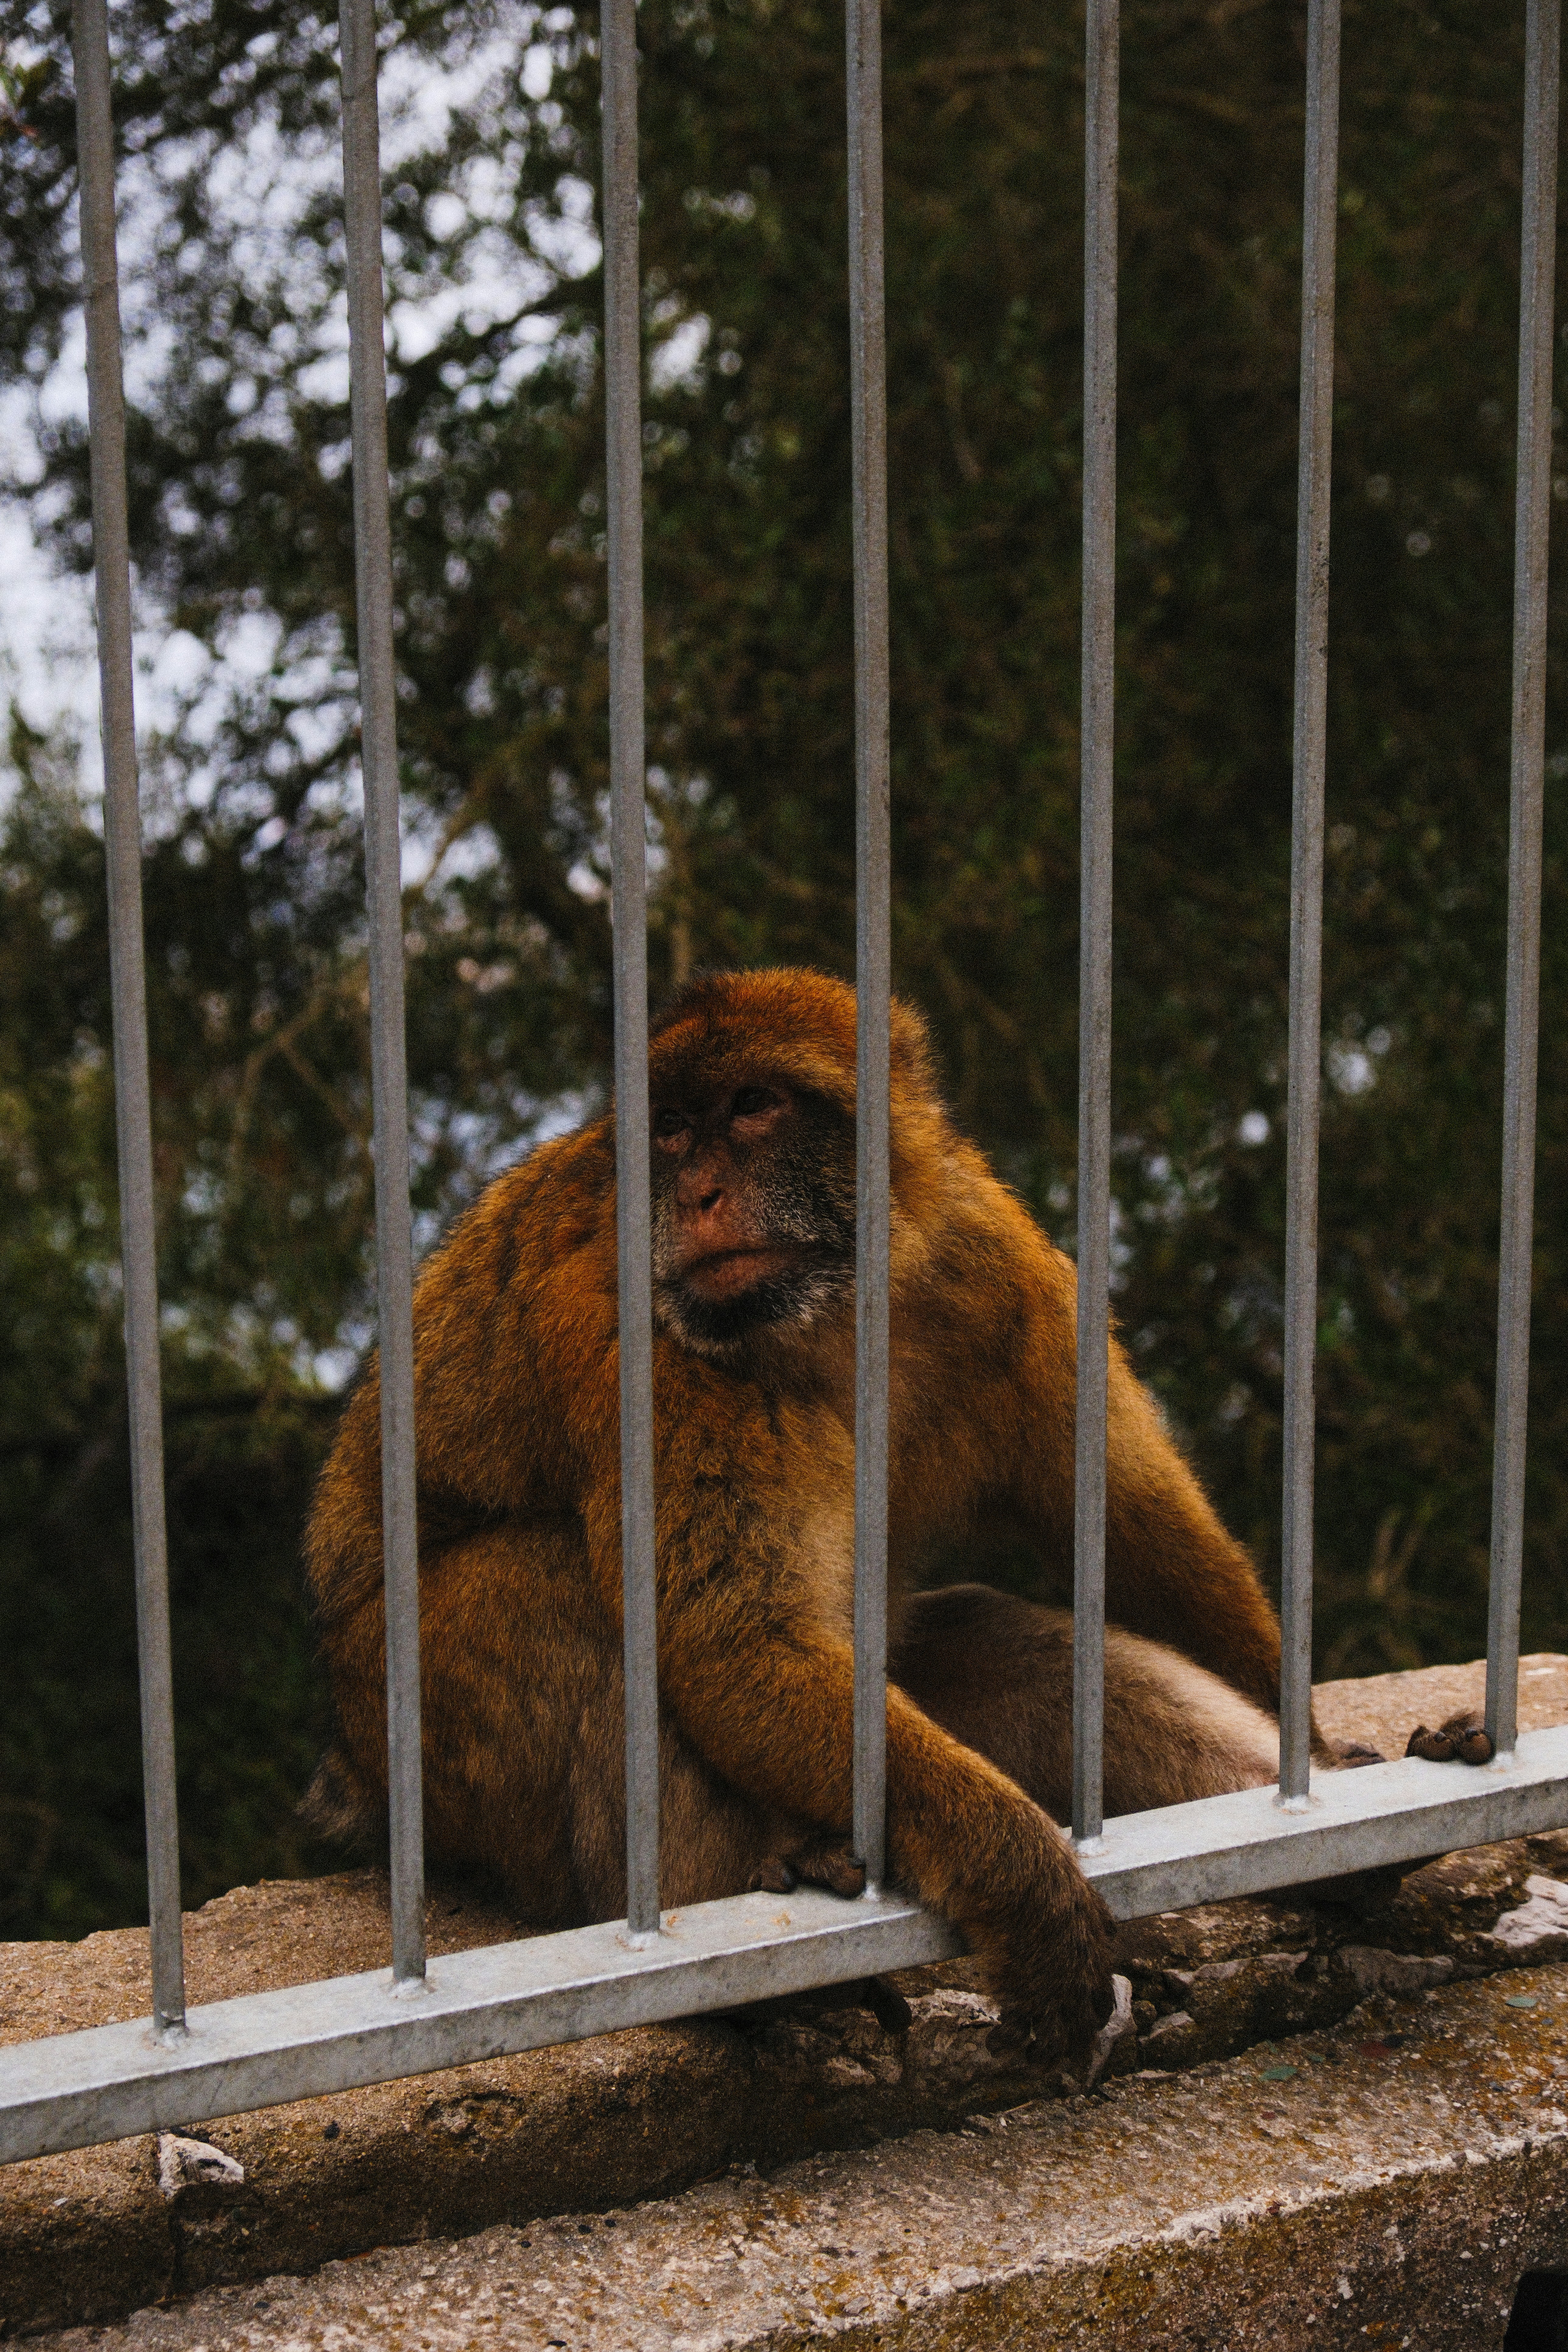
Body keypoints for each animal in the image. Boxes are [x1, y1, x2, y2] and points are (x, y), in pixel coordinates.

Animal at [307, 968, 1321, 2064]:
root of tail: (353, 1756)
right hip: (415, 1728)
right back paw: (737, 1955)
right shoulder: (651, 1343)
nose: (700, 1196)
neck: (833, 1307)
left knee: (1003, 1644)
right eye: (672, 1131)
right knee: (554, 1589)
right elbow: (737, 1640)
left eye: (755, 1107)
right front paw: (1022, 1881)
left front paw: (1310, 1764)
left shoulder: (989, 1254)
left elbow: (1130, 1526)